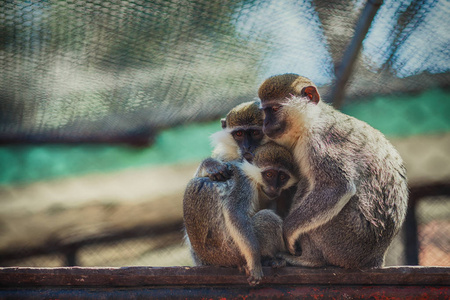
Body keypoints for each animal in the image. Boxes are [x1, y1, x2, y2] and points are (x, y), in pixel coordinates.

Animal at [183, 142, 298, 286]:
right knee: (267, 218)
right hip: (232, 253)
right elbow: (236, 214)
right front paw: (254, 260)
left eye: (283, 177)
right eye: (269, 174)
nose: (274, 188)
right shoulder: (244, 183)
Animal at [256, 74, 408, 268]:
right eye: (265, 111)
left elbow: (338, 187)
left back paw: (310, 259)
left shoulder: (320, 139)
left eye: (274, 109)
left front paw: (288, 232)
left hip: (344, 239)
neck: (312, 119)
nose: (265, 123)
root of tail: (375, 257)